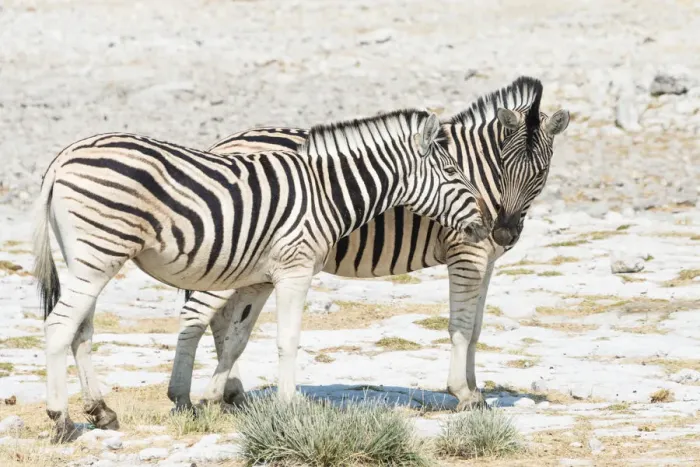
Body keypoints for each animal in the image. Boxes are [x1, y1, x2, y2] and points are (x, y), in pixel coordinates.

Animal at [33, 108, 493, 441]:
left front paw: (215, 398)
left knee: (80, 330)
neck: (325, 192)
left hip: (87, 259)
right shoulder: (295, 269)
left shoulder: (258, 278)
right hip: (100, 253)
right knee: (58, 326)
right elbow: (287, 340)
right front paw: (292, 407)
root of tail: (62, 158)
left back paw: (102, 412)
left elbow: (236, 340)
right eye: (452, 173)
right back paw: (62, 421)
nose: (486, 226)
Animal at [165, 76, 570, 413]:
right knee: (209, 315)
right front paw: (463, 393)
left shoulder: (487, 260)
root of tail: (223, 143)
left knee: (222, 319)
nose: (502, 233)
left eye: (541, 172)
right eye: (503, 166)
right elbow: (461, 325)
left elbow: (476, 330)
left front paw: (475, 390)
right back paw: (208, 394)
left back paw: (232, 390)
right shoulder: (466, 255)